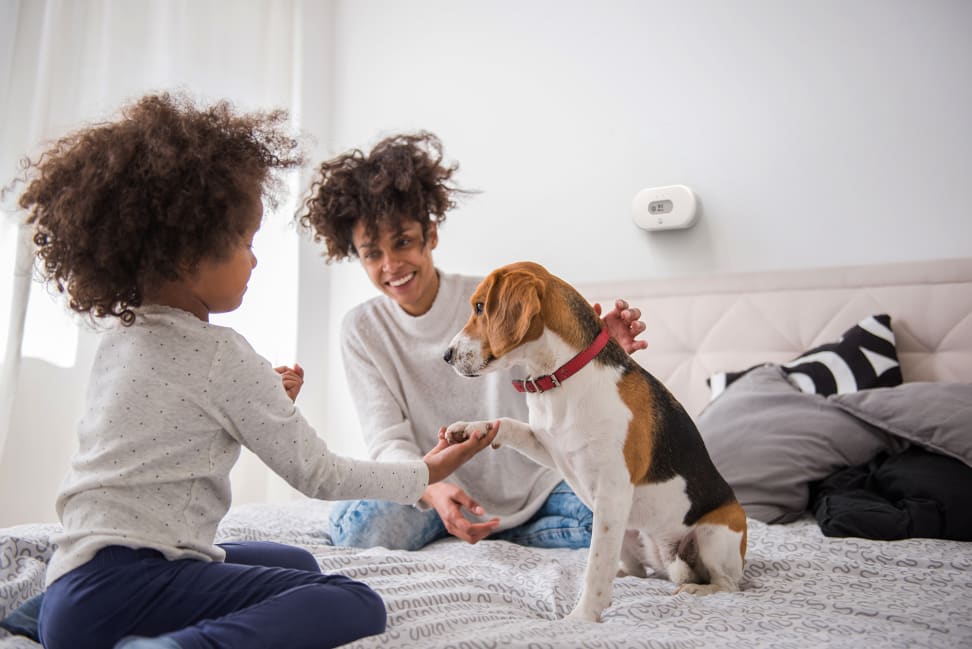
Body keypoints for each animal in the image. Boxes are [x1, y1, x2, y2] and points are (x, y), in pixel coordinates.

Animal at [444, 262, 748, 624]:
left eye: (479, 306)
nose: (446, 355)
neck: (561, 377)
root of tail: (668, 559)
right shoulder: (550, 448)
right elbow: (507, 424)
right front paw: (471, 429)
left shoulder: (612, 492)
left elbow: (595, 566)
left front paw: (582, 617)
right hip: (628, 533)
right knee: (637, 571)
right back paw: (627, 574)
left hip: (713, 532)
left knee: (728, 584)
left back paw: (696, 589)